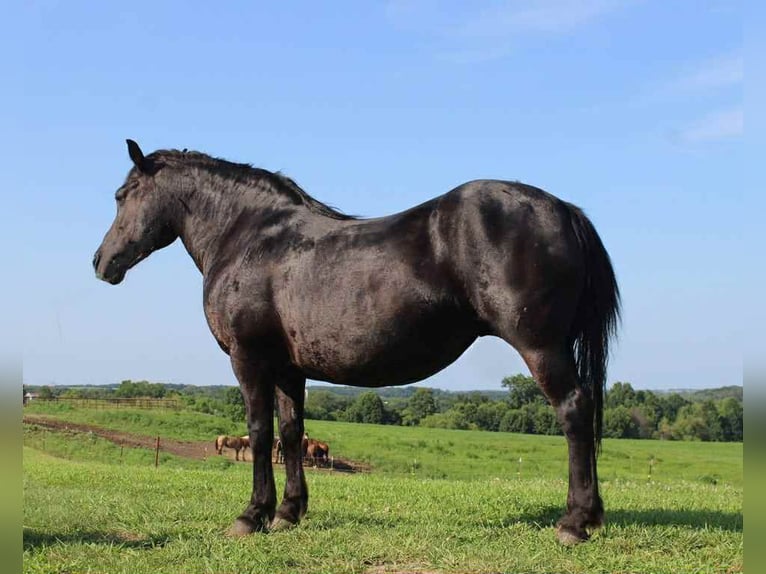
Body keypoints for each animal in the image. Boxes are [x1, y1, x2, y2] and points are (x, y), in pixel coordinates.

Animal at [94, 140, 619, 545]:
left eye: (121, 195)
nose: (101, 262)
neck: (249, 237)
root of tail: (563, 210)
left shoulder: (249, 358)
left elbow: (260, 433)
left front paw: (251, 516)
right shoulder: (288, 368)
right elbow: (291, 432)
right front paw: (288, 513)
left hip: (541, 347)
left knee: (574, 410)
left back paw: (574, 522)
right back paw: (589, 516)